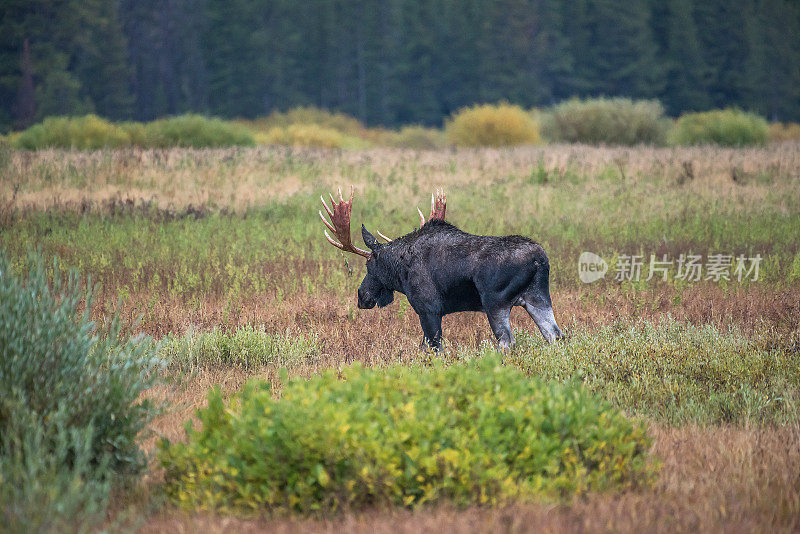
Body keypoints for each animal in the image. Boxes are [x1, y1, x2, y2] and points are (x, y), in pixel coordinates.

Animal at [318, 188, 564, 352]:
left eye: (369, 266)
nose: (362, 296)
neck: (400, 272)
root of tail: (539, 260)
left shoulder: (428, 309)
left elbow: (434, 348)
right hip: (538, 298)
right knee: (555, 335)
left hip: (496, 302)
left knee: (507, 341)